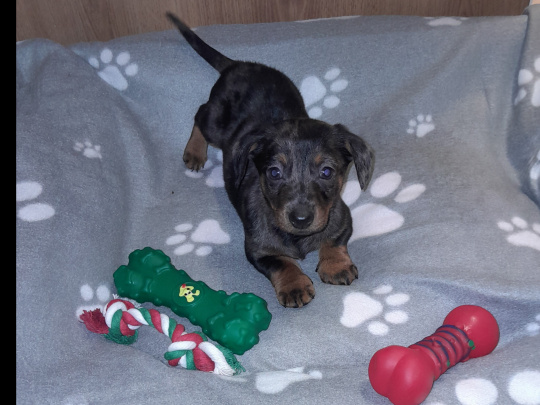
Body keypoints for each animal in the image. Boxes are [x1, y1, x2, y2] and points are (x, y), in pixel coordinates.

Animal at [167, 14, 374, 308]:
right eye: (274, 173)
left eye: (326, 172)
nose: (301, 219)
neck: (297, 237)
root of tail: (238, 65)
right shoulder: (258, 249)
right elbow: (281, 263)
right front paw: (294, 285)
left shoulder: (342, 218)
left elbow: (334, 241)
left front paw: (336, 266)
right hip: (215, 122)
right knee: (200, 114)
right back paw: (195, 151)